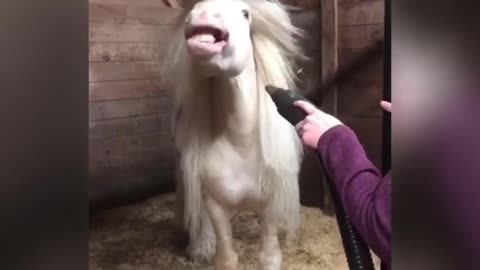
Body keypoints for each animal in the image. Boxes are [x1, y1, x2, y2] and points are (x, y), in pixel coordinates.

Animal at [161, 1, 304, 268]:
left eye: (245, 13)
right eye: (195, 6)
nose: (202, 14)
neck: (240, 142)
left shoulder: (270, 207)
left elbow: (269, 257)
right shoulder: (216, 205)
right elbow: (226, 257)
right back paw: (197, 244)